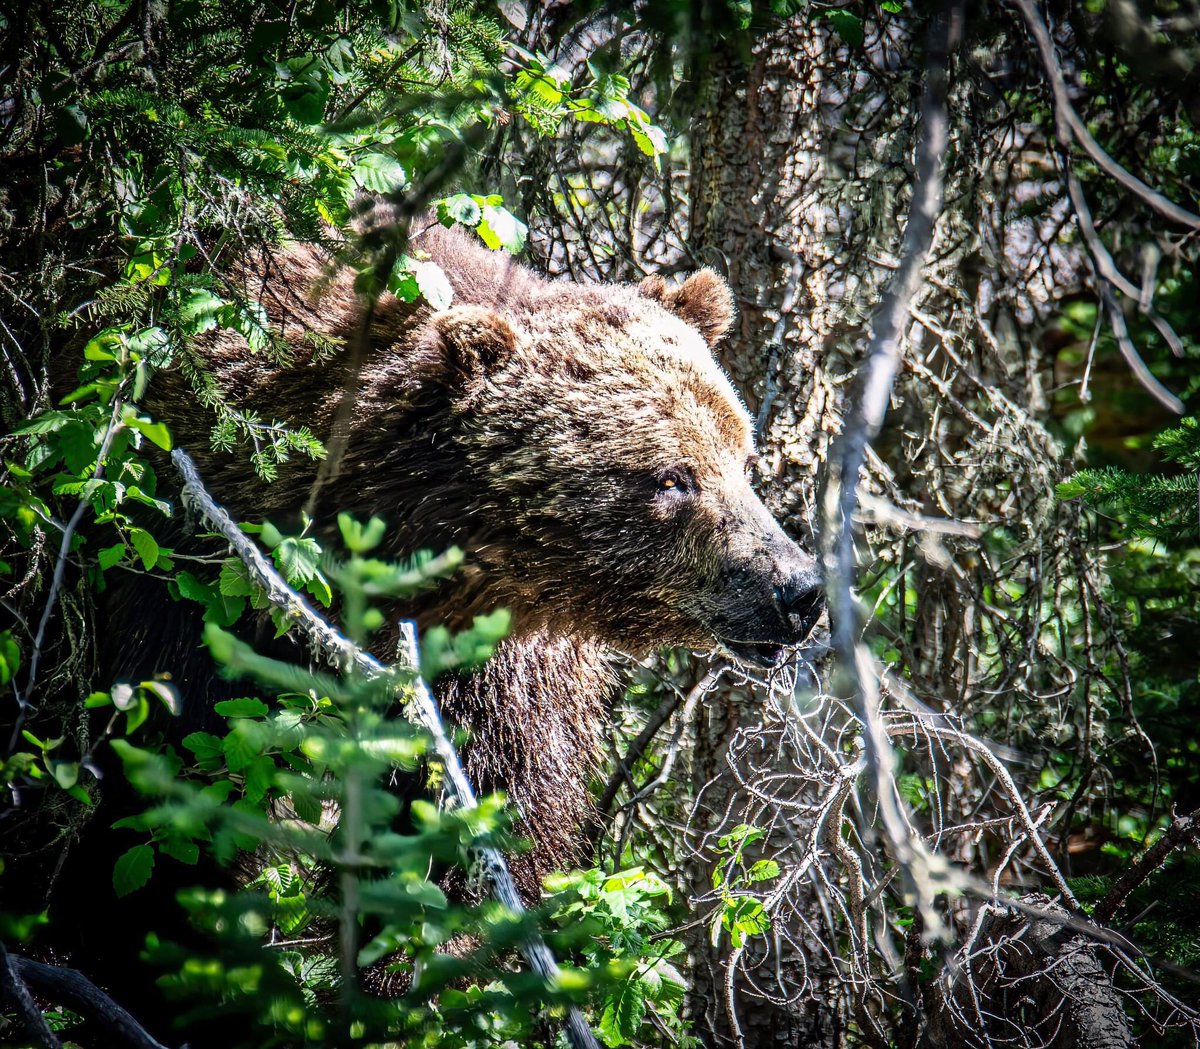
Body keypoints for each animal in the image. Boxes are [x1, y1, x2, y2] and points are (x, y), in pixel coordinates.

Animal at [118, 214, 824, 896]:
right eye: (673, 478)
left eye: (741, 459)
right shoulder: (188, 584)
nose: (799, 590)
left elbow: (486, 806)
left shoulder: (494, 669)